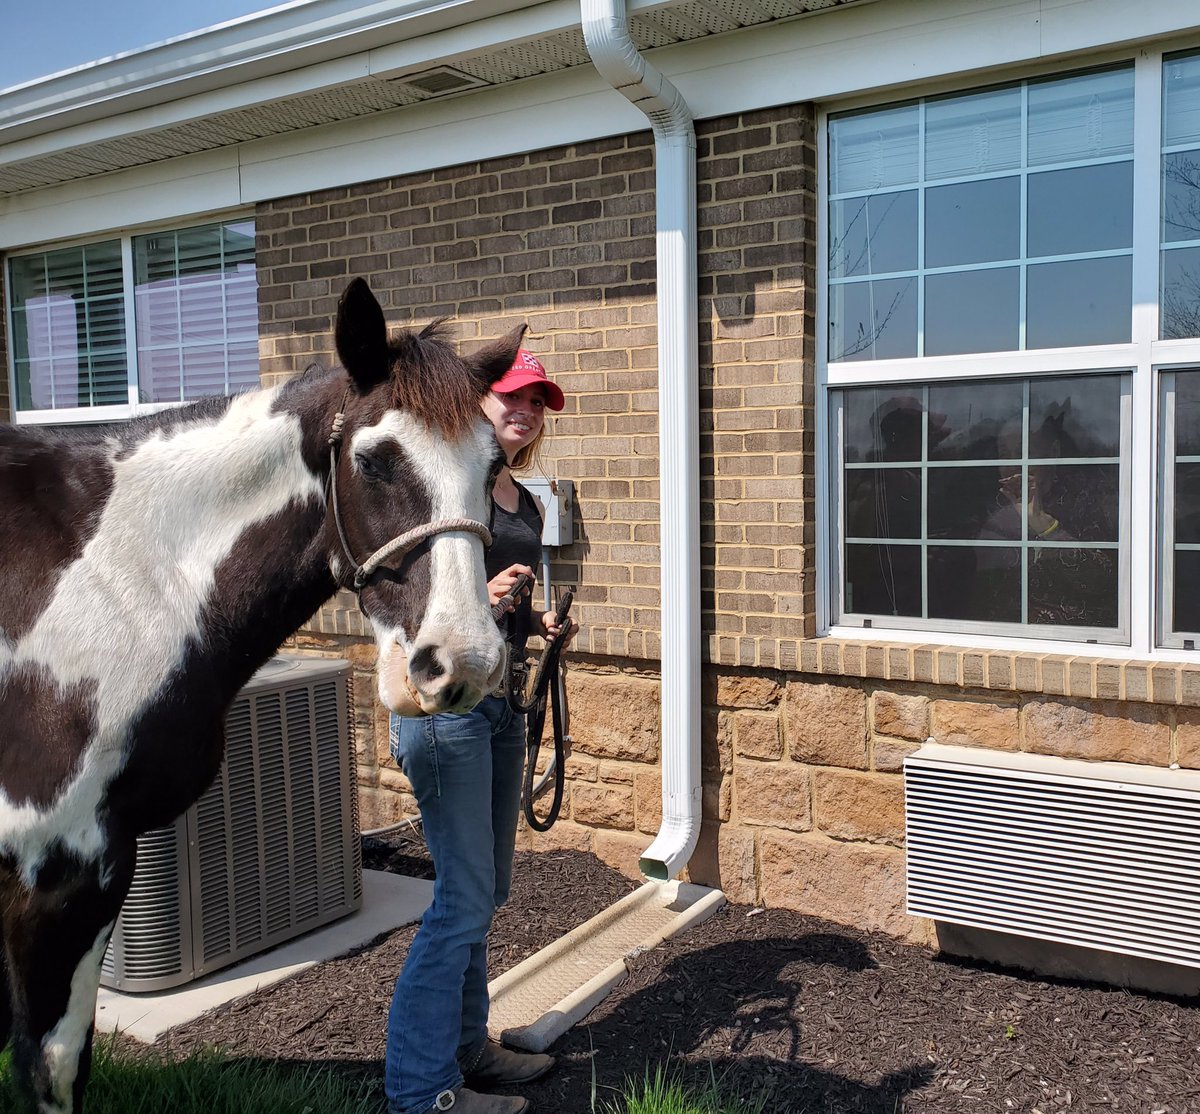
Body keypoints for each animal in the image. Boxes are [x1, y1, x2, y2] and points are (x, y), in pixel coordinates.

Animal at [0, 277, 522, 1113]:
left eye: (494, 461)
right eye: (374, 461)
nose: (462, 663)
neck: (116, 578)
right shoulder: (58, 867)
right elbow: (51, 1067)